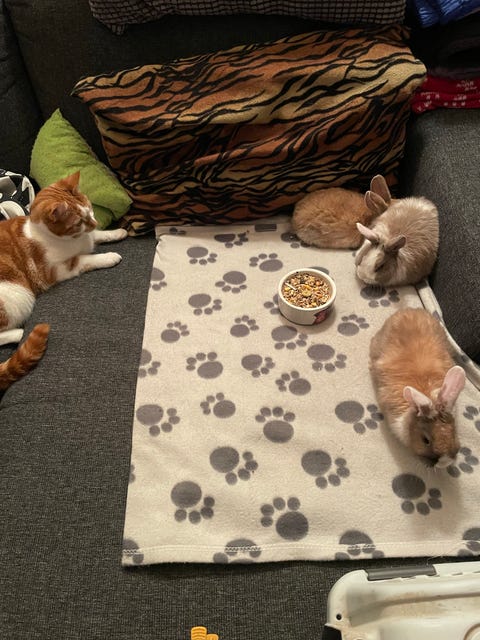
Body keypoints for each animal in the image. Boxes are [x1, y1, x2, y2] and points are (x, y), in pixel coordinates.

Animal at [0, 171, 127, 389]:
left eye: (91, 210)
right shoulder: (56, 270)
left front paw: (116, 232)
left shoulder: (89, 237)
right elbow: (85, 259)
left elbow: (98, 236)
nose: (95, 223)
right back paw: (19, 334)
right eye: (78, 222)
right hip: (18, 296)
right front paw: (109, 256)